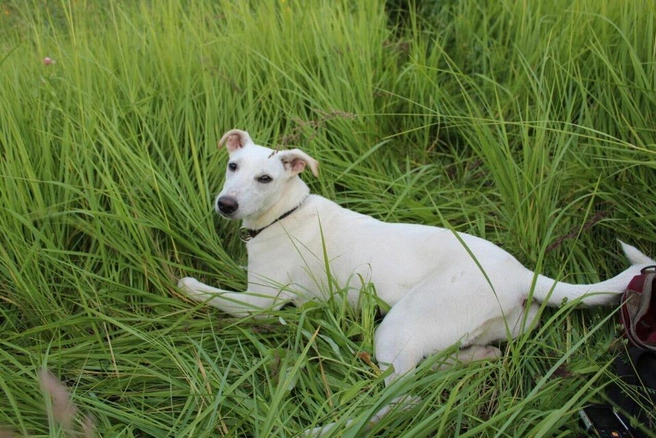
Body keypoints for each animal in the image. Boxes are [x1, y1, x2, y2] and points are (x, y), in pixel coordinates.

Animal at [177, 129, 652, 434]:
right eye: (232, 165)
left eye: (265, 179)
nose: (225, 204)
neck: (285, 212)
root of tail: (522, 276)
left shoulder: (261, 302)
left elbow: (212, 293)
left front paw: (187, 285)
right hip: (477, 328)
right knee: (438, 369)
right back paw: (472, 357)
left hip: (400, 325)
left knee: (402, 401)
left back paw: (329, 429)